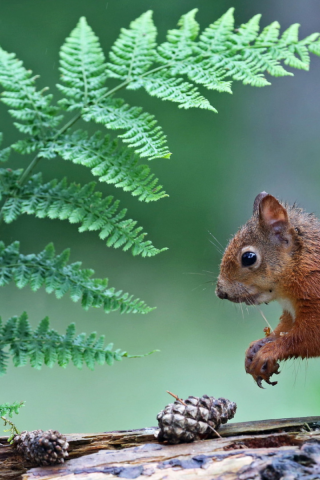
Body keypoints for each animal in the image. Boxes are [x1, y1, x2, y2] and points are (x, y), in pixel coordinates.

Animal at [215, 191, 320, 386]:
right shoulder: (291, 311)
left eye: (249, 257)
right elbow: (283, 328)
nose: (220, 292)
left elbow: (307, 337)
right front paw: (259, 344)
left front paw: (269, 350)